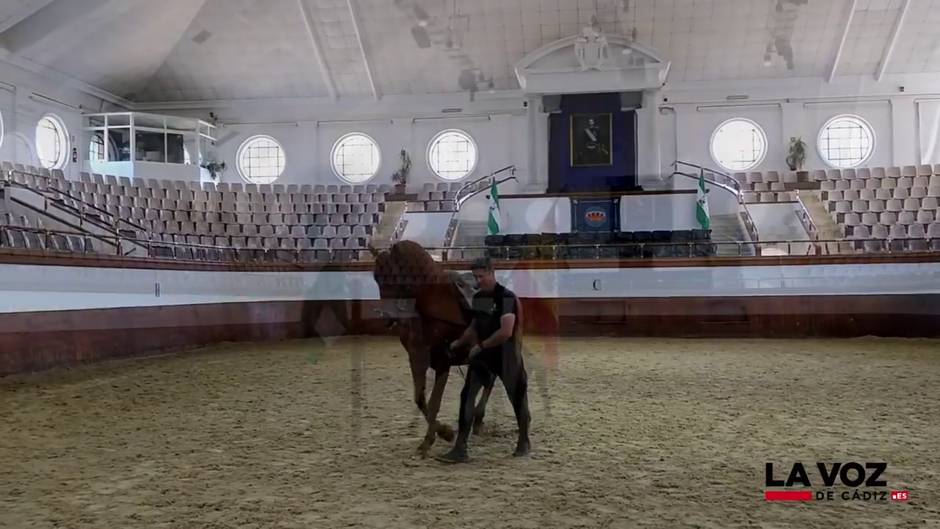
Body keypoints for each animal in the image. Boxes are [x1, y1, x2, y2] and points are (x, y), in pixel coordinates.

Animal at [370, 241, 496, 456]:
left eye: (395, 275)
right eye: (375, 277)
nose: (387, 317)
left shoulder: (443, 362)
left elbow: (434, 402)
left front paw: (438, 436)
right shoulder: (417, 358)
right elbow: (420, 399)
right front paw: (442, 433)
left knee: (492, 379)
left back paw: (478, 418)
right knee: (486, 379)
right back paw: (477, 420)